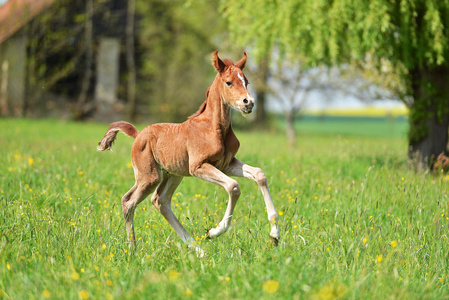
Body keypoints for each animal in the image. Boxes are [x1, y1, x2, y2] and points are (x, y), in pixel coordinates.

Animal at [98, 50, 280, 254]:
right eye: (229, 82)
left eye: (246, 81)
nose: (248, 103)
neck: (213, 128)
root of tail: (138, 134)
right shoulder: (198, 167)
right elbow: (233, 187)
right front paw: (214, 232)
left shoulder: (226, 164)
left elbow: (259, 174)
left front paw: (275, 236)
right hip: (149, 176)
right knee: (128, 201)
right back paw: (134, 249)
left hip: (173, 174)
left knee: (160, 201)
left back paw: (198, 250)